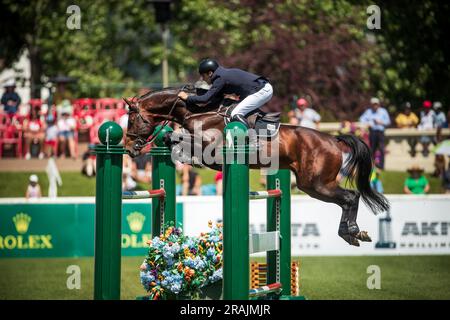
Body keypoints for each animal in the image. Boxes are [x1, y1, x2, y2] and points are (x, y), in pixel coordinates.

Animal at [124, 86, 390, 246]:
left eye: (133, 118)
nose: (129, 148)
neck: (198, 111)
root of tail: (334, 140)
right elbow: (176, 139)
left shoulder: (211, 148)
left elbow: (182, 141)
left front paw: (186, 155)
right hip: (313, 185)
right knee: (348, 198)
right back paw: (352, 234)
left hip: (316, 184)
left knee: (350, 197)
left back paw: (352, 231)